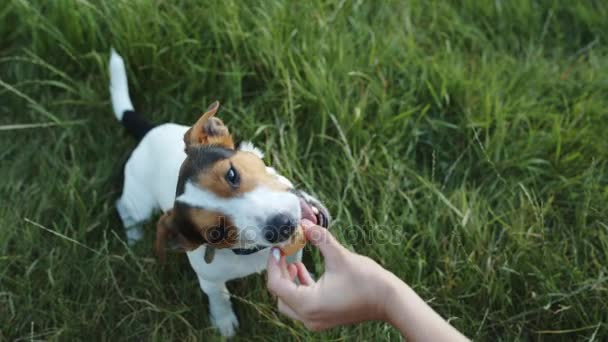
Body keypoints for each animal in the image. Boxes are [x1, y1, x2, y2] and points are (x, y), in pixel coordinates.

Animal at [107, 49, 330, 338]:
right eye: (216, 232)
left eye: (231, 174)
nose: (282, 225)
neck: (253, 253)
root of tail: (148, 133)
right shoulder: (209, 279)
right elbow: (219, 296)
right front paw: (223, 321)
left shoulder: (294, 250)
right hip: (140, 201)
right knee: (125, 208)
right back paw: (133, 236)